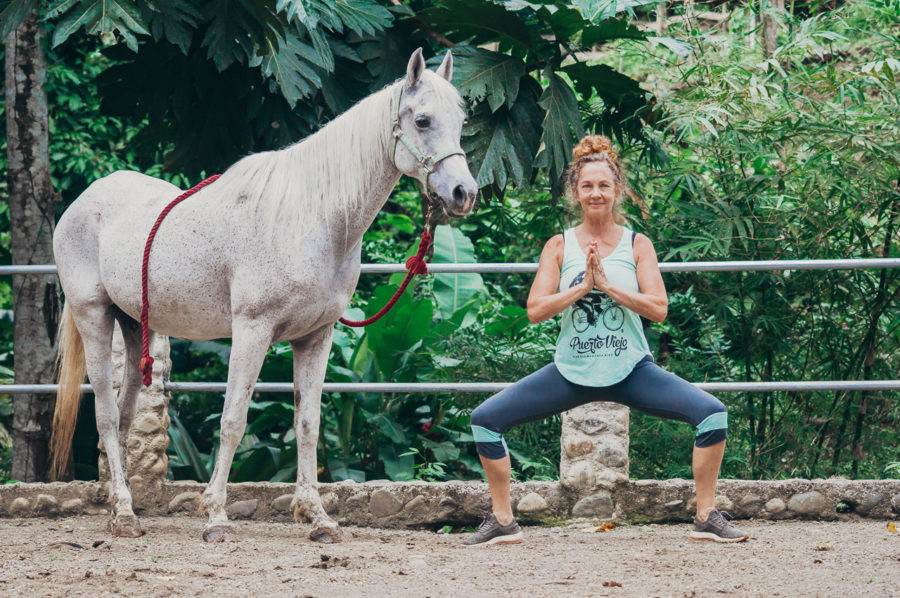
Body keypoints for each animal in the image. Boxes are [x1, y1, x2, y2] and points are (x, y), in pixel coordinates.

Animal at [51, 49, 478, 544]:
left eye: (461, 121)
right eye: (423, 120)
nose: (465, 193)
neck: (312, 216)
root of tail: (84, 201)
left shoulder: (316, 337)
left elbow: (308, 424)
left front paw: (318, 518)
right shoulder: (252, 331)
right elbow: (233, 420)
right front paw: (216, 517)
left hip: (135, 326)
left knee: (122, 415)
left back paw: (122, 509)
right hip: (94, 318)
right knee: (103, 412)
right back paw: (122, 514)